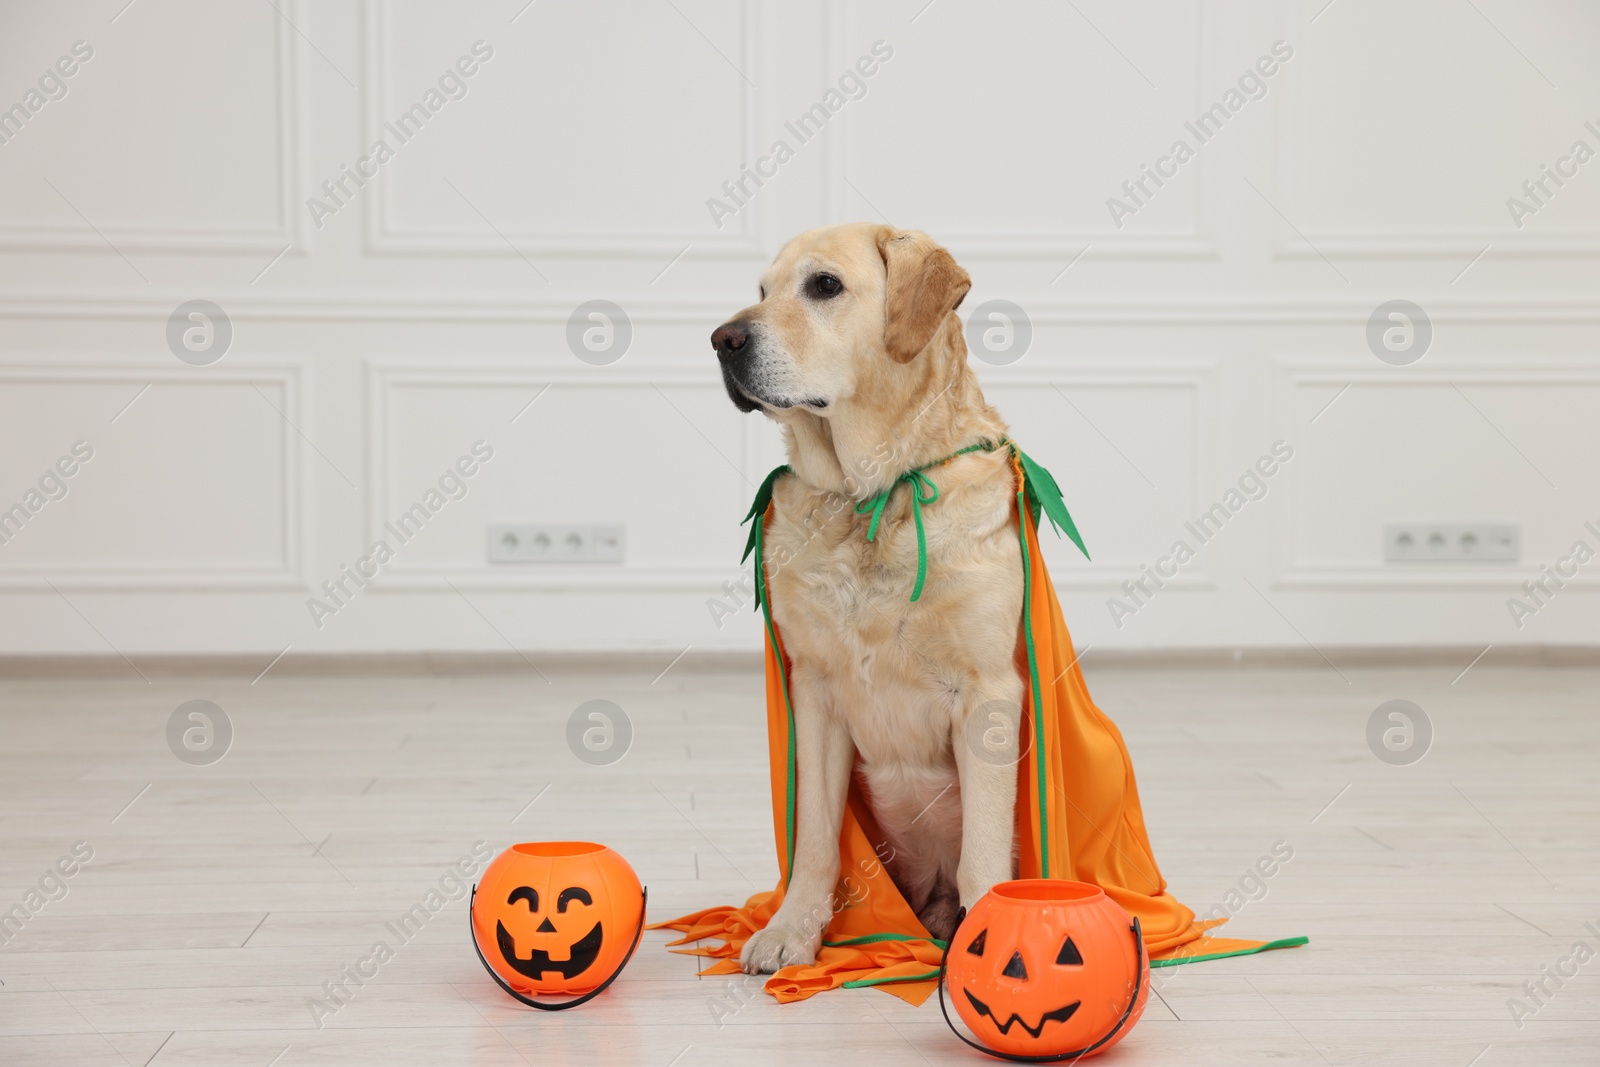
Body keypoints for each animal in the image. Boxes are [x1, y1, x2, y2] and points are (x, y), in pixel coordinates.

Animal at [713, 220, 1024, 972]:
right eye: (760, 289)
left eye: (824, 285)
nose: (722, 339)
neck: (870, 497)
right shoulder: (815, 690)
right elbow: (816, 841)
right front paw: (792, 929)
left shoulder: (990, 692)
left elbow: (982, 855)